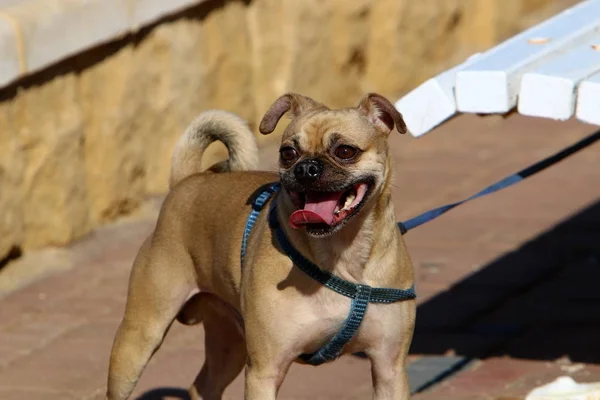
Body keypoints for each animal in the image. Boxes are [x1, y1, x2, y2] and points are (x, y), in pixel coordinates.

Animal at [106, 92, 418, 398]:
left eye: (345, 151)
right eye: (288, 153)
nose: (307, 167)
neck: (341, 255)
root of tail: (186, 182)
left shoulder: (389, 368)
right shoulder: (264, 371)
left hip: (229, 342)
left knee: (203, 386)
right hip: (140, 337)